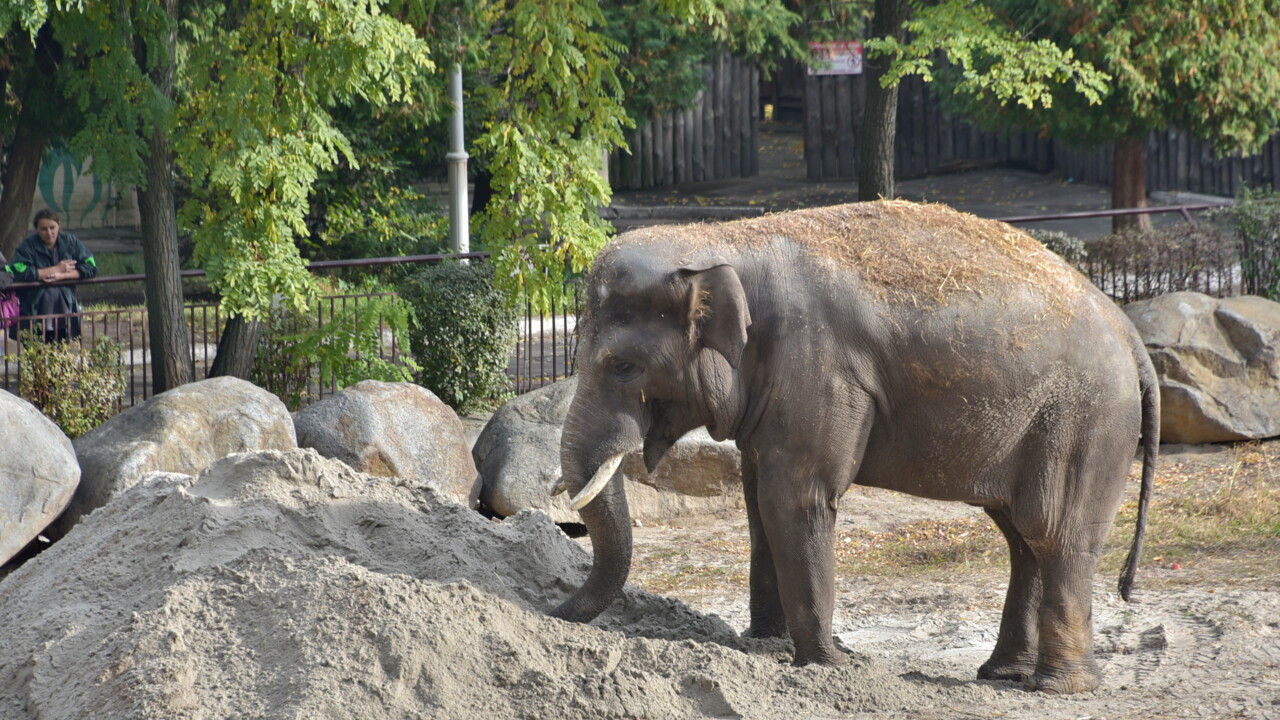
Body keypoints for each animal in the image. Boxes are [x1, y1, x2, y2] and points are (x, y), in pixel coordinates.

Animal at [550, 198, 1162, 691]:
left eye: (623, 367)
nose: (551, 610)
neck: (724, 240)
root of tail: (1129, 334)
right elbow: (758, 501)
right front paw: (765, 647)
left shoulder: (817, 368)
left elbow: (794, 499)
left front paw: (825, 667)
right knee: (1021, 534)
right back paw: (1004, 675)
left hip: (1083, 422)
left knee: (1054, 531)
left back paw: (1059, 689)